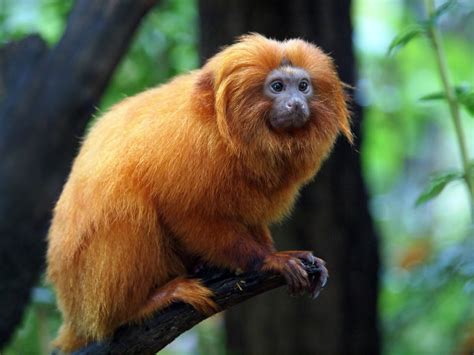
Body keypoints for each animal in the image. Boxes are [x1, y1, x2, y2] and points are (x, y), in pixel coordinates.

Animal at [47, 33, 352, 354]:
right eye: (277, 87)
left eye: (303, 86)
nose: (295, 104)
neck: (228, 132)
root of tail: (73, 312)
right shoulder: (190, 150)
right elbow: (184, 213)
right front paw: (269, 259)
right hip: (91, 293)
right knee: (128, 211)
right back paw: (143, 305)